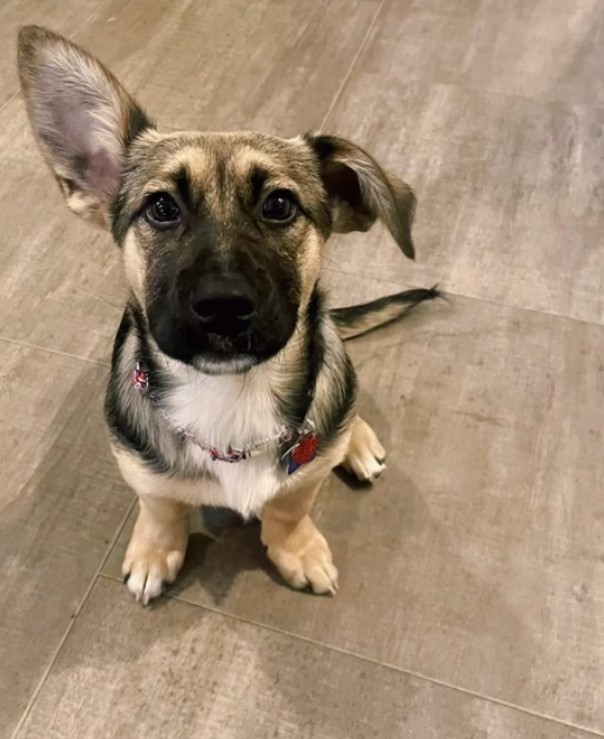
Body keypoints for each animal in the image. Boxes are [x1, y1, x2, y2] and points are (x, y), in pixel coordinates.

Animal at [16, 27, 436, 608]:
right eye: (161, 208)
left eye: (280, 205)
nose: (223, 305)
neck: (232, 396)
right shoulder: (138, 464)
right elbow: (160, 505)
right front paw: (155, 551)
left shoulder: (305, 473)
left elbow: (290, 505)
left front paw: (297, 549)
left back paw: (358, 440)